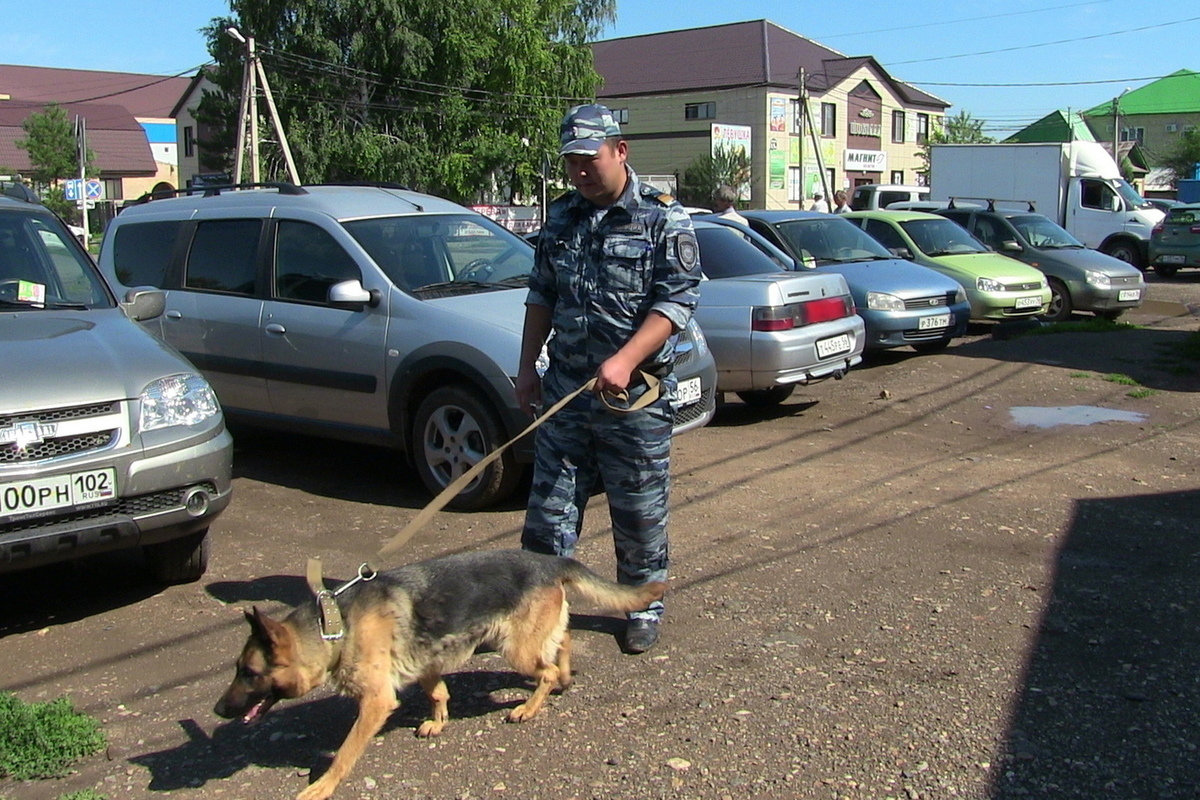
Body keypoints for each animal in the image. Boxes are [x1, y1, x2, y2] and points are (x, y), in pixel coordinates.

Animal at [216, 551, 667, 800]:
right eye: (238, 670)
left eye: (249, 673)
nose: (218, 709)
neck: (336, 625)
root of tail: (549, 560)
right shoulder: (424, 664)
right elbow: (438, 692)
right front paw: (439, 721)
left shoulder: (376, 702)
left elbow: (343, 755)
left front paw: (323, 787)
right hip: (527, 637)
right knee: (564, 640)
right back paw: (566, 676)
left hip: (515, 649)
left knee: (548, 670)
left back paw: (529, 707)